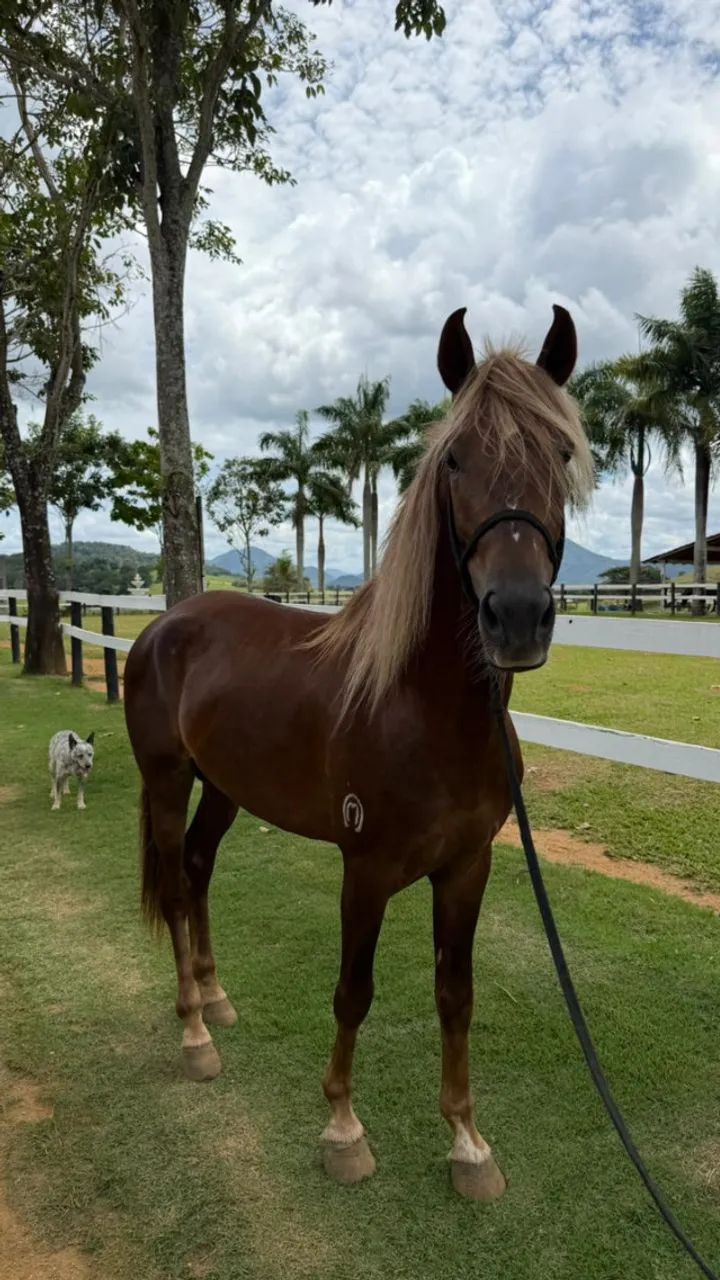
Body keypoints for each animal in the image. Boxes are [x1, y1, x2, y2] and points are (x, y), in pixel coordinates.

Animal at [124, 304, 594, 1201]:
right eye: (455, 458)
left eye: (559, 453)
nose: (516, 617)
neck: (428, 713)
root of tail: (167, 624)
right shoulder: (366, 870)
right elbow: (354, 992)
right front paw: (343, 1129)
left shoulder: (468, 867)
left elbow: (455, 994)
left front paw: (467, 1144)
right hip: (167, 781)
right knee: (173, 885)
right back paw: (196, 1033)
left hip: (225, 788)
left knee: (198, 870)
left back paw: (217, 996)